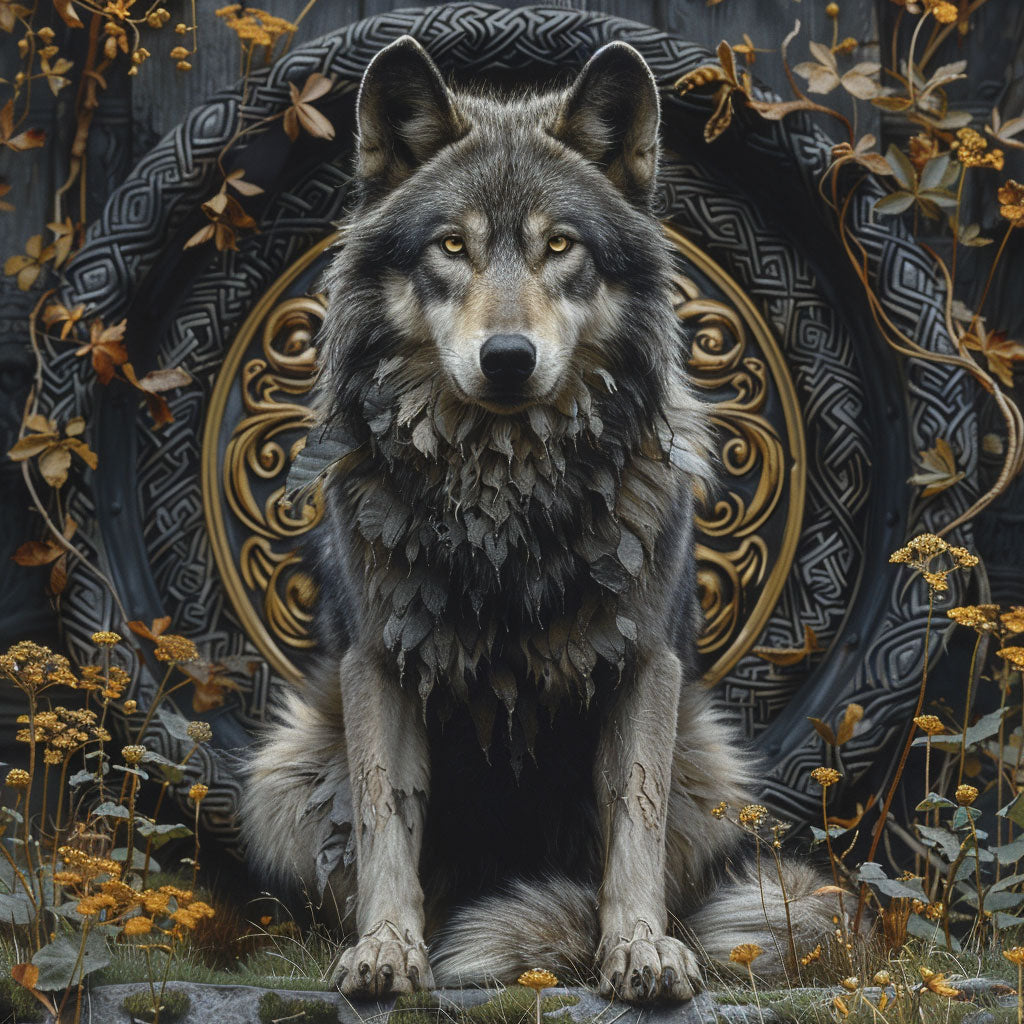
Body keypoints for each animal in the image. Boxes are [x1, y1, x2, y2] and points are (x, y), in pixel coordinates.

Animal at [243, 36, 838, 1003]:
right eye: (453, 246)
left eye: (560, 245)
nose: (509, 358)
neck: (506, 499)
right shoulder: (378, 661)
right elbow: (383, 818)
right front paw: (386, 949)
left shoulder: (642, 663)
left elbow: (631, 822)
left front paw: (638, 948)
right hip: (285, 768)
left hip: (708, 764)